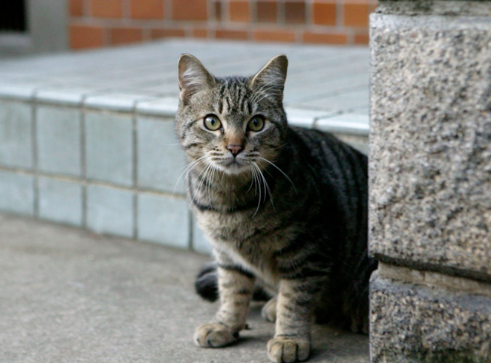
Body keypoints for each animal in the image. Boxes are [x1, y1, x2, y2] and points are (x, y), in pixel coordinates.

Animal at [177, 54, 376, 363]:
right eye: (211, 122)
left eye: (257, 123)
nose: (235, 147)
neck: (229, 201)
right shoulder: (226, 254)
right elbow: (232, 290)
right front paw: (225, 325)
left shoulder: (308, 251)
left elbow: (295, 299)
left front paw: (289, 338)